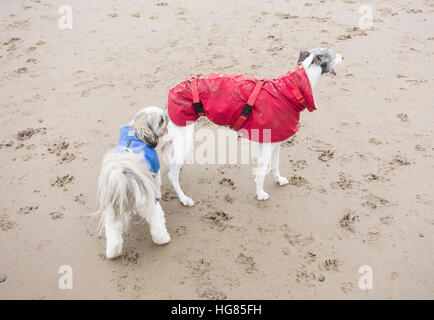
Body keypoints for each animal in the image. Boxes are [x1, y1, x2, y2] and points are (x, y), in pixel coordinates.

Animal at [96, 106, 170, 258]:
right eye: (161, 120)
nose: (167, 123)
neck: (135, 133)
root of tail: (123, 179)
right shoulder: (155, 173)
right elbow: (157, 184)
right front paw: (158, 194)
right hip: (148, 203)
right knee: (156, 220)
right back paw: (163, 239)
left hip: (112, 211)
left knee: (113, 232)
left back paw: (113, 252)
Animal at [163, 48, 342, 206]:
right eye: (334, 54)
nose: (344, 56)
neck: (289, 90)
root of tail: (171, 94)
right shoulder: (267, 142)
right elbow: (262, 170)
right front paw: (260, 193)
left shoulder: (276, 139)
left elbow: (275, 164)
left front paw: (278, 180)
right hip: (184, 136)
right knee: (172, 175)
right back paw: (184, 198)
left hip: (177, 134)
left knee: (166, 150)